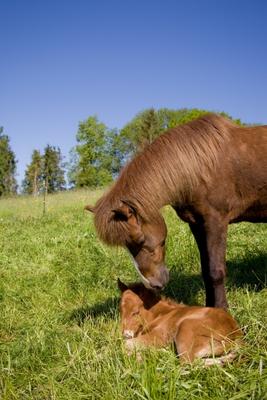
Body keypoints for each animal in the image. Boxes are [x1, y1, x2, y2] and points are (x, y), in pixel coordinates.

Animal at [86, 114, 267, 308]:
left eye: (139, 239)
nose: (153, 284)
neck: (199, 166)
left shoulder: (216, 222)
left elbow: (215, 271)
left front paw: (221, 310)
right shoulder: (197, 224)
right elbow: (205, 269)